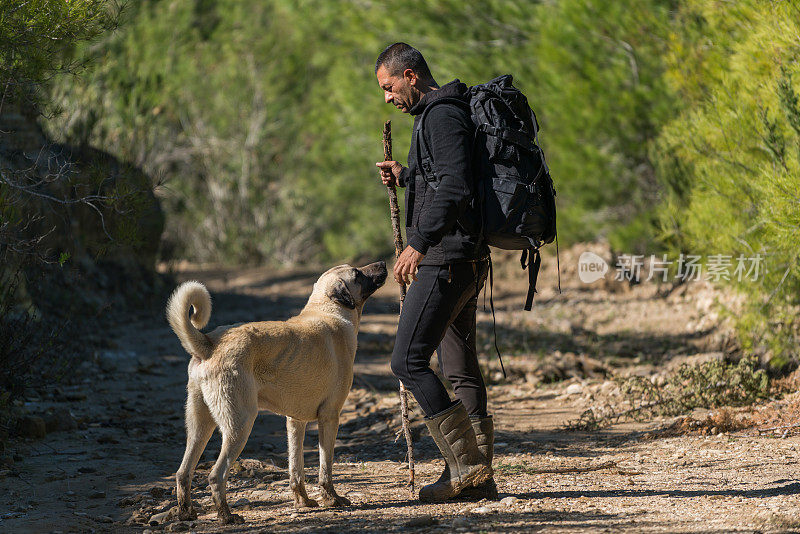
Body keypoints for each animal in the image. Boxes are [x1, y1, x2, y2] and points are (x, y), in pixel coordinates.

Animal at [166, 262, 388, 524]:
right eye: (357, 273)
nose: (383, 263)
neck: (328, 309)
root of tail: (210, 343)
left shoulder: (295, 422)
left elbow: (296, 469)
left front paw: (303, 501)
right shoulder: (330, 417)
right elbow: (326, 468)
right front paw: (332, 499)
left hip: (200, 427)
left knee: (183, 473)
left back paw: (186, 512)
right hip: (240, 425)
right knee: (215, 475)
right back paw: (227, 515)